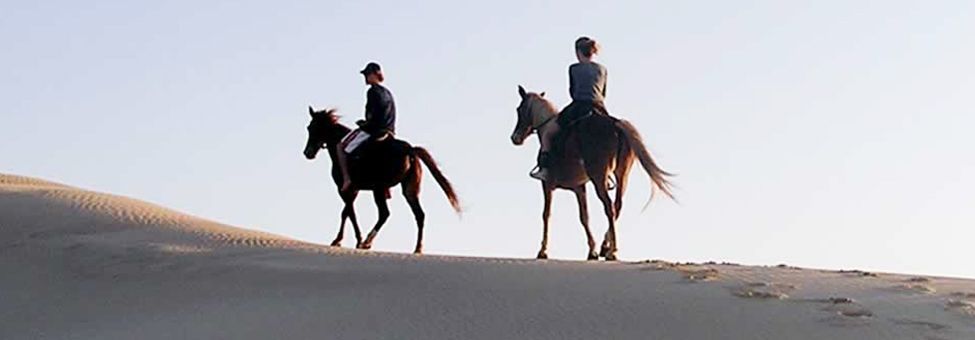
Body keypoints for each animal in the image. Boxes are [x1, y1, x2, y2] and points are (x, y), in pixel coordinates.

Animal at [302, 106, 462, 252]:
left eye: (311, 128)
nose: (307, 152)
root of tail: (410, 150)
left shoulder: (345, 189)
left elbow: (349, 212)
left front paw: (346, 240)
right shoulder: (354, 190)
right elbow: (347, 212)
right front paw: (345, 239)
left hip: (378, 188)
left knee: (384, 214)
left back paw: (367, 241)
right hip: (409, 190)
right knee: (419, 215)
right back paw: (417, 248)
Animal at [510, 87, 672, 260]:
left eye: (519, 109)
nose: (515, 138)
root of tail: (616, 124)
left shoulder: (547, 184)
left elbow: (546, 215)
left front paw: (543, 250)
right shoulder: (579, 188)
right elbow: (584, 217)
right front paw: (592, 250)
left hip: (598, 177)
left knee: (609, 206)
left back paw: (613, 251)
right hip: (622, 174)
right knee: (617, 205)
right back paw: (606, 247)